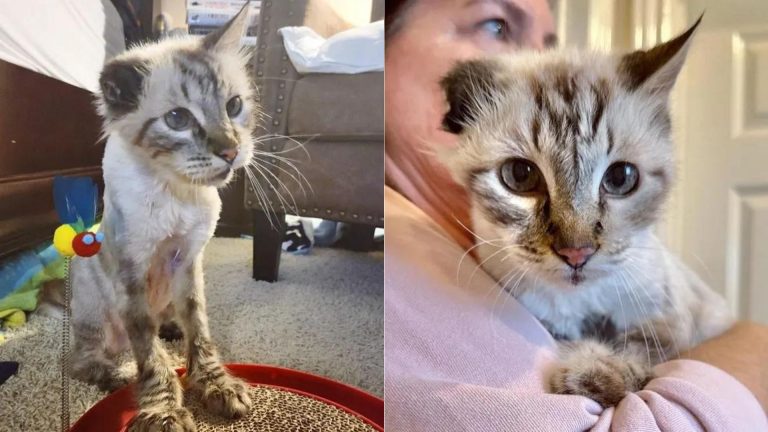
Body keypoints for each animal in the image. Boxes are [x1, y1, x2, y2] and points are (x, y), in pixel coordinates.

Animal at [70, 4, 255, 432]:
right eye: (177, 120)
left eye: (233, 107)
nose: (230, 151)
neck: (178, 192)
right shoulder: (133, 274)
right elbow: (150, 356)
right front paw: (163, 409)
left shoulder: (188, 260)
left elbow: (199, 330)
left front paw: (216, 385)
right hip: (92, 290)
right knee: (83, 360)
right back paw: (122, 373)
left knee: (169, 322)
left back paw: (169, 329)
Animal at [438, 17, 732, 408]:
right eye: (521, 175)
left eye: (620, 178)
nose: (576, 253)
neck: (580, 304)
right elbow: (571, 338)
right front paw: (589, 363)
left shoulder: (680, 319)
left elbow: (639, 345)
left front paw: (596, 373)